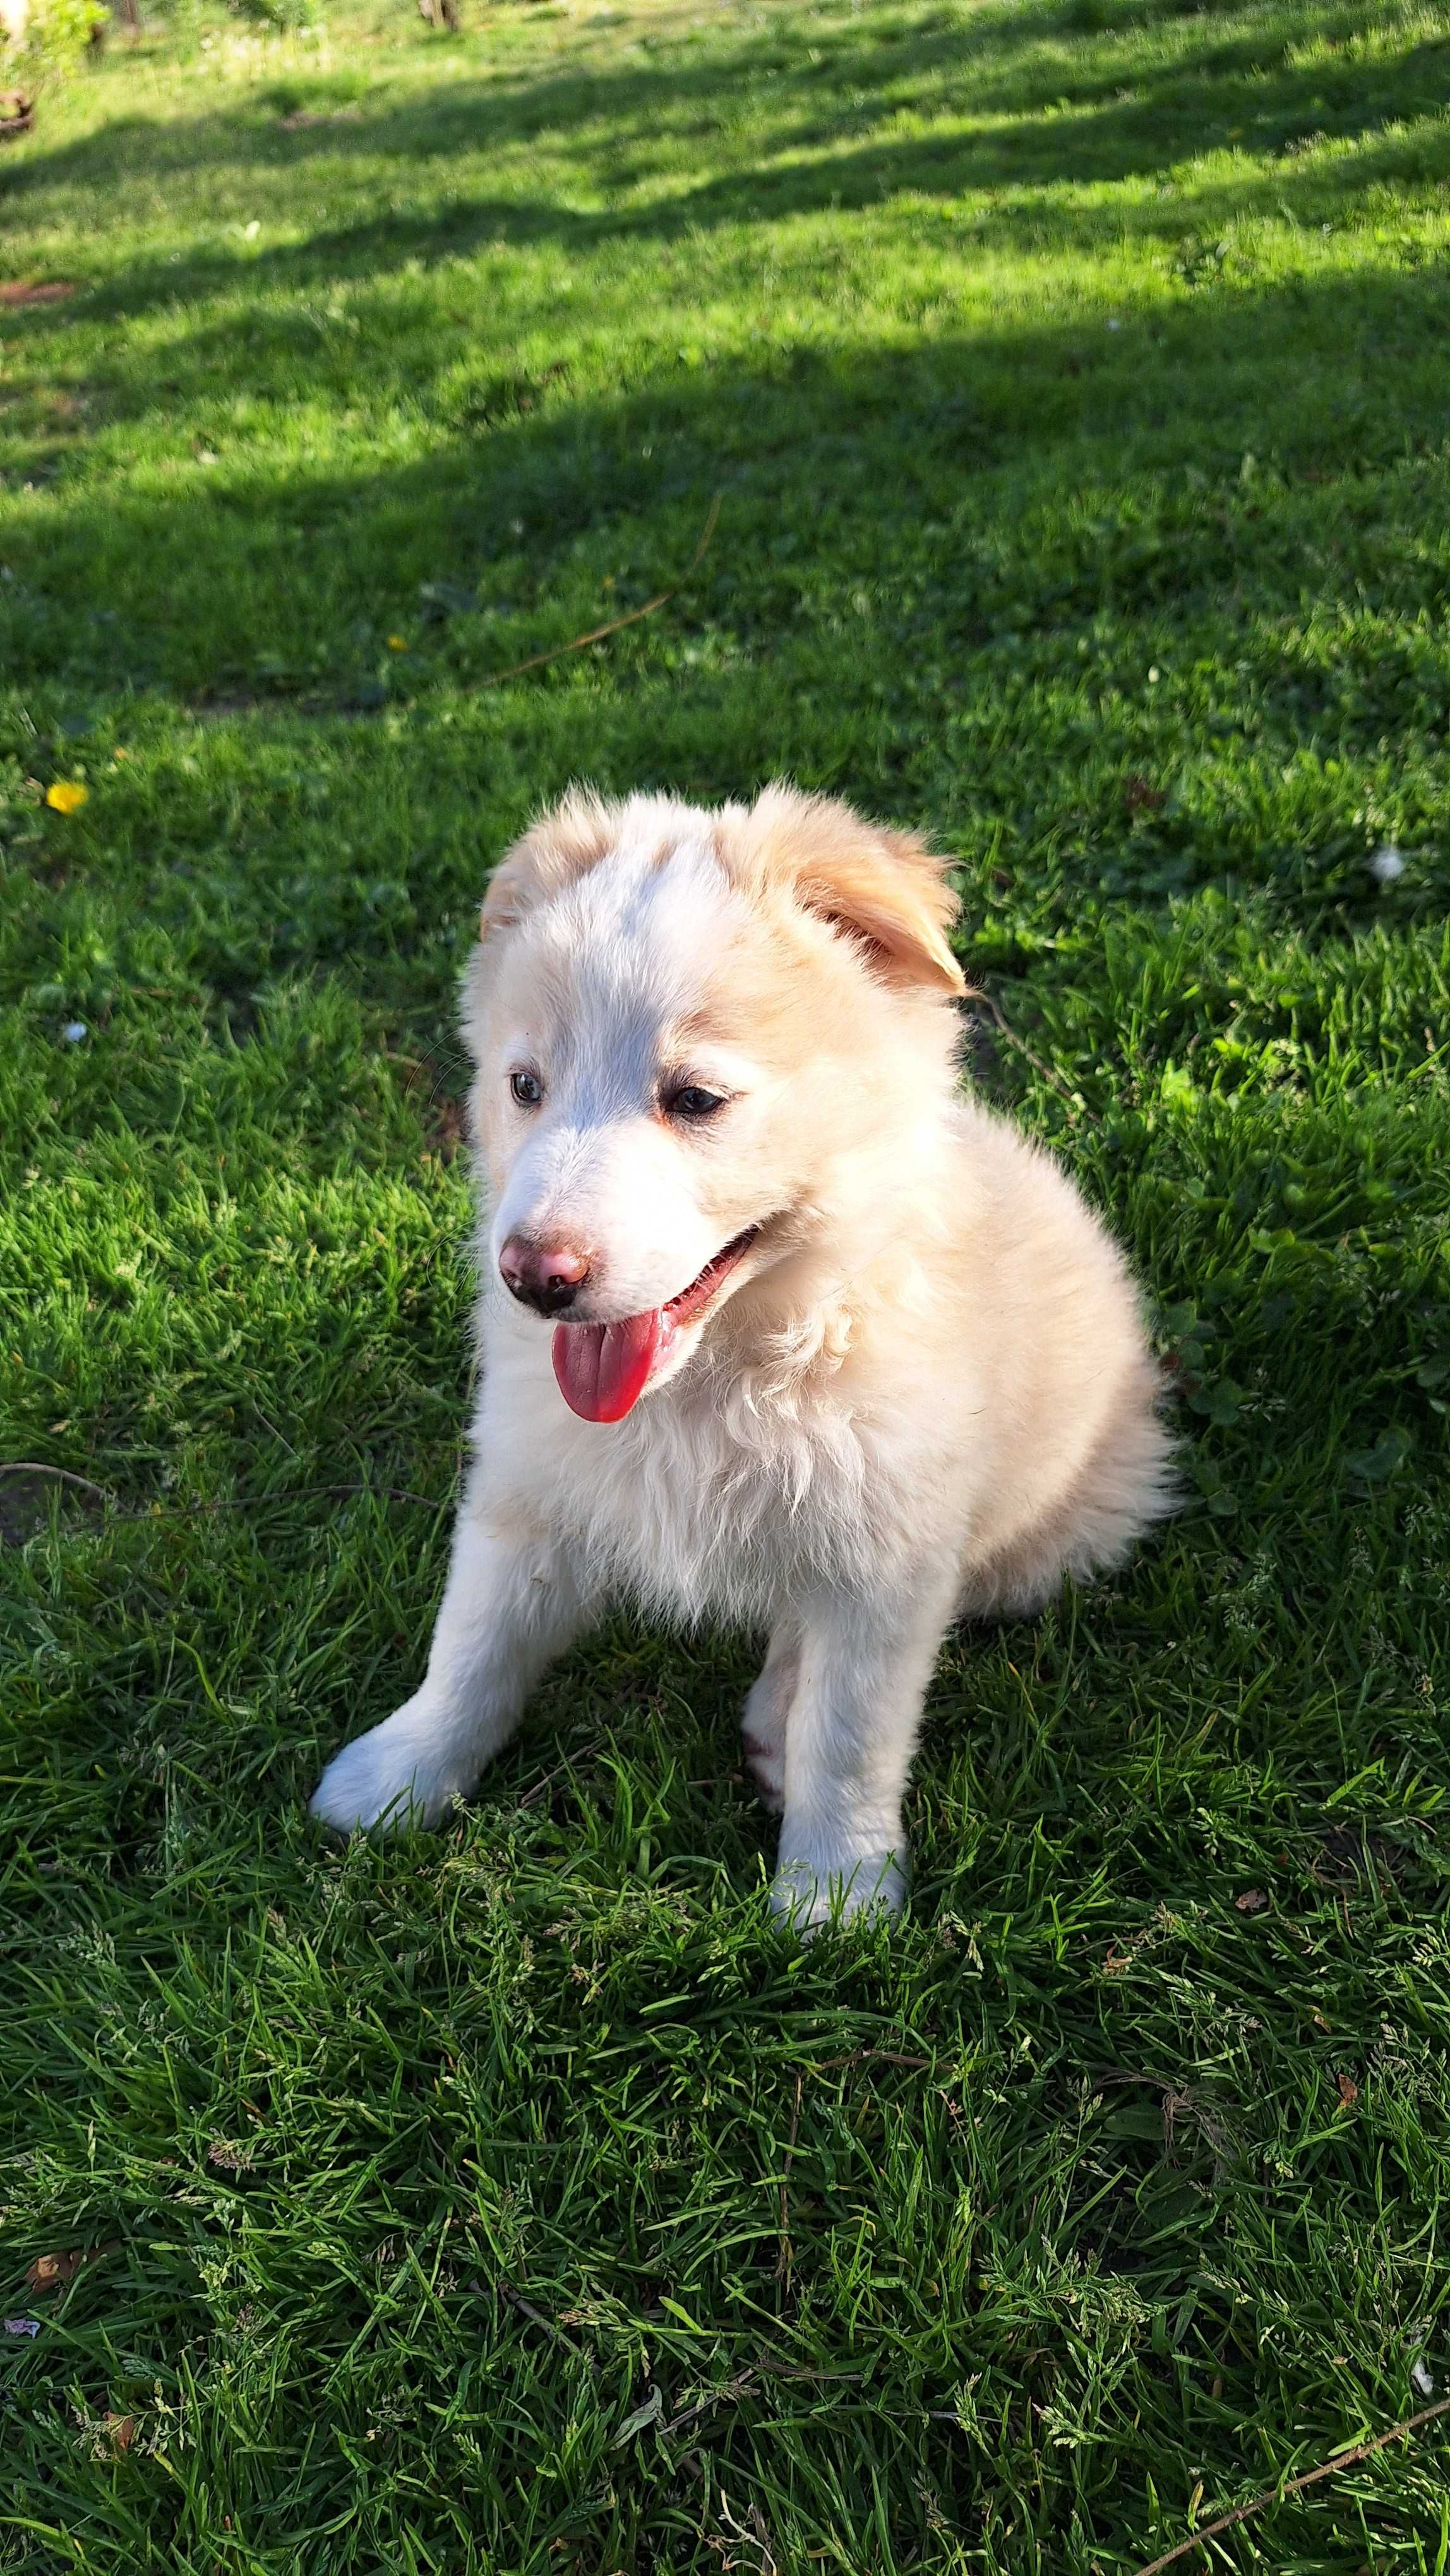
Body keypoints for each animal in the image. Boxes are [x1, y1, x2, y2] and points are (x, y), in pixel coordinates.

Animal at [311, 793, 1174, 1926]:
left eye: (696, 1100)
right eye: (525, 1086)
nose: (535, 1277)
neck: (718, 1378)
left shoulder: (888, 1558)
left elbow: (851, 1737)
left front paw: (836, 1891)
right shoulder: (529, 1487)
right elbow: (470, 1647)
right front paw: (396, 1776)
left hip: (1037, 1544)